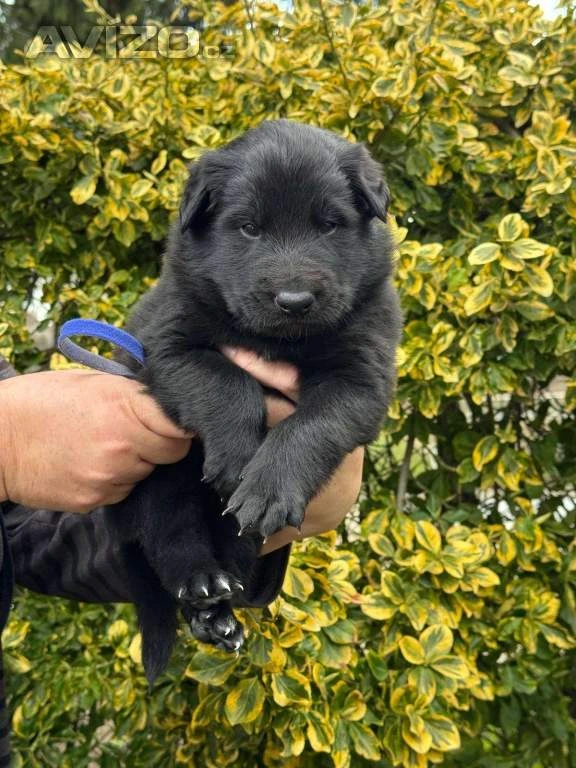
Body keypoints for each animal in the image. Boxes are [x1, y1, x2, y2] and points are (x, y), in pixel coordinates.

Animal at [108, 119, 403, 682]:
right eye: (247, 228)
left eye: (329, 225)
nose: (294, 300)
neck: (279, 340)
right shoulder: (167, 343)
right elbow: (227, 380)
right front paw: (239, 457)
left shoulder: (361, 374)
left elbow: (310, 425)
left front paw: (267, 488)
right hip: (159, 482)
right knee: (171, 534)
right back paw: (203, 586)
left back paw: (216, 613)